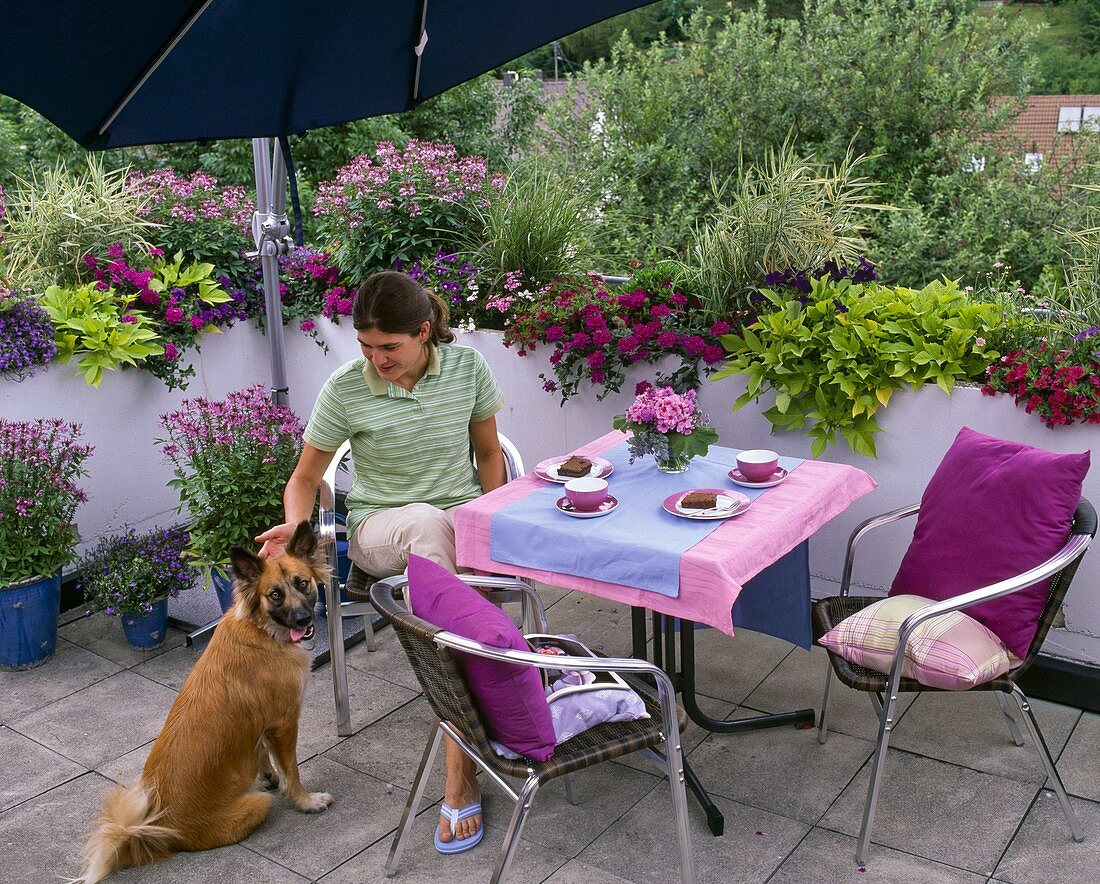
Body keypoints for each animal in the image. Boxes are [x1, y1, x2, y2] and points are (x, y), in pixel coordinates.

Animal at [76, 521, 330, 879]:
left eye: (302, 583)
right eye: (275, 595)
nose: (303, 621)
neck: (262, 631)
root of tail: (160, 829)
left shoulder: (262, 724)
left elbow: (259, 750)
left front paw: (267, 774)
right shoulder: (284, 722)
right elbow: (291, 770)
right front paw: (306, 801)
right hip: (256, 805)